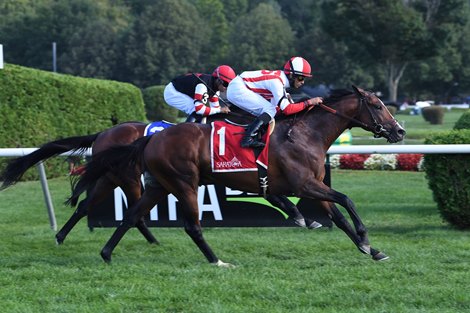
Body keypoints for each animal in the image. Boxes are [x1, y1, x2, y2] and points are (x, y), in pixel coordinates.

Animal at [70, 86, 408, 266]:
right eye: (377, 105)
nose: (400, 131)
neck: (304, 133)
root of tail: (151, 139)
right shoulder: (304, 185)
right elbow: (347, 200)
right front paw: (365, 238)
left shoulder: (312, 185)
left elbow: (337, 216)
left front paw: (371, 250)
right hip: (182, 182)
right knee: (191, 226)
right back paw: (217, 261)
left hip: (158, 185)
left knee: (131, 216)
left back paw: (106, 253)